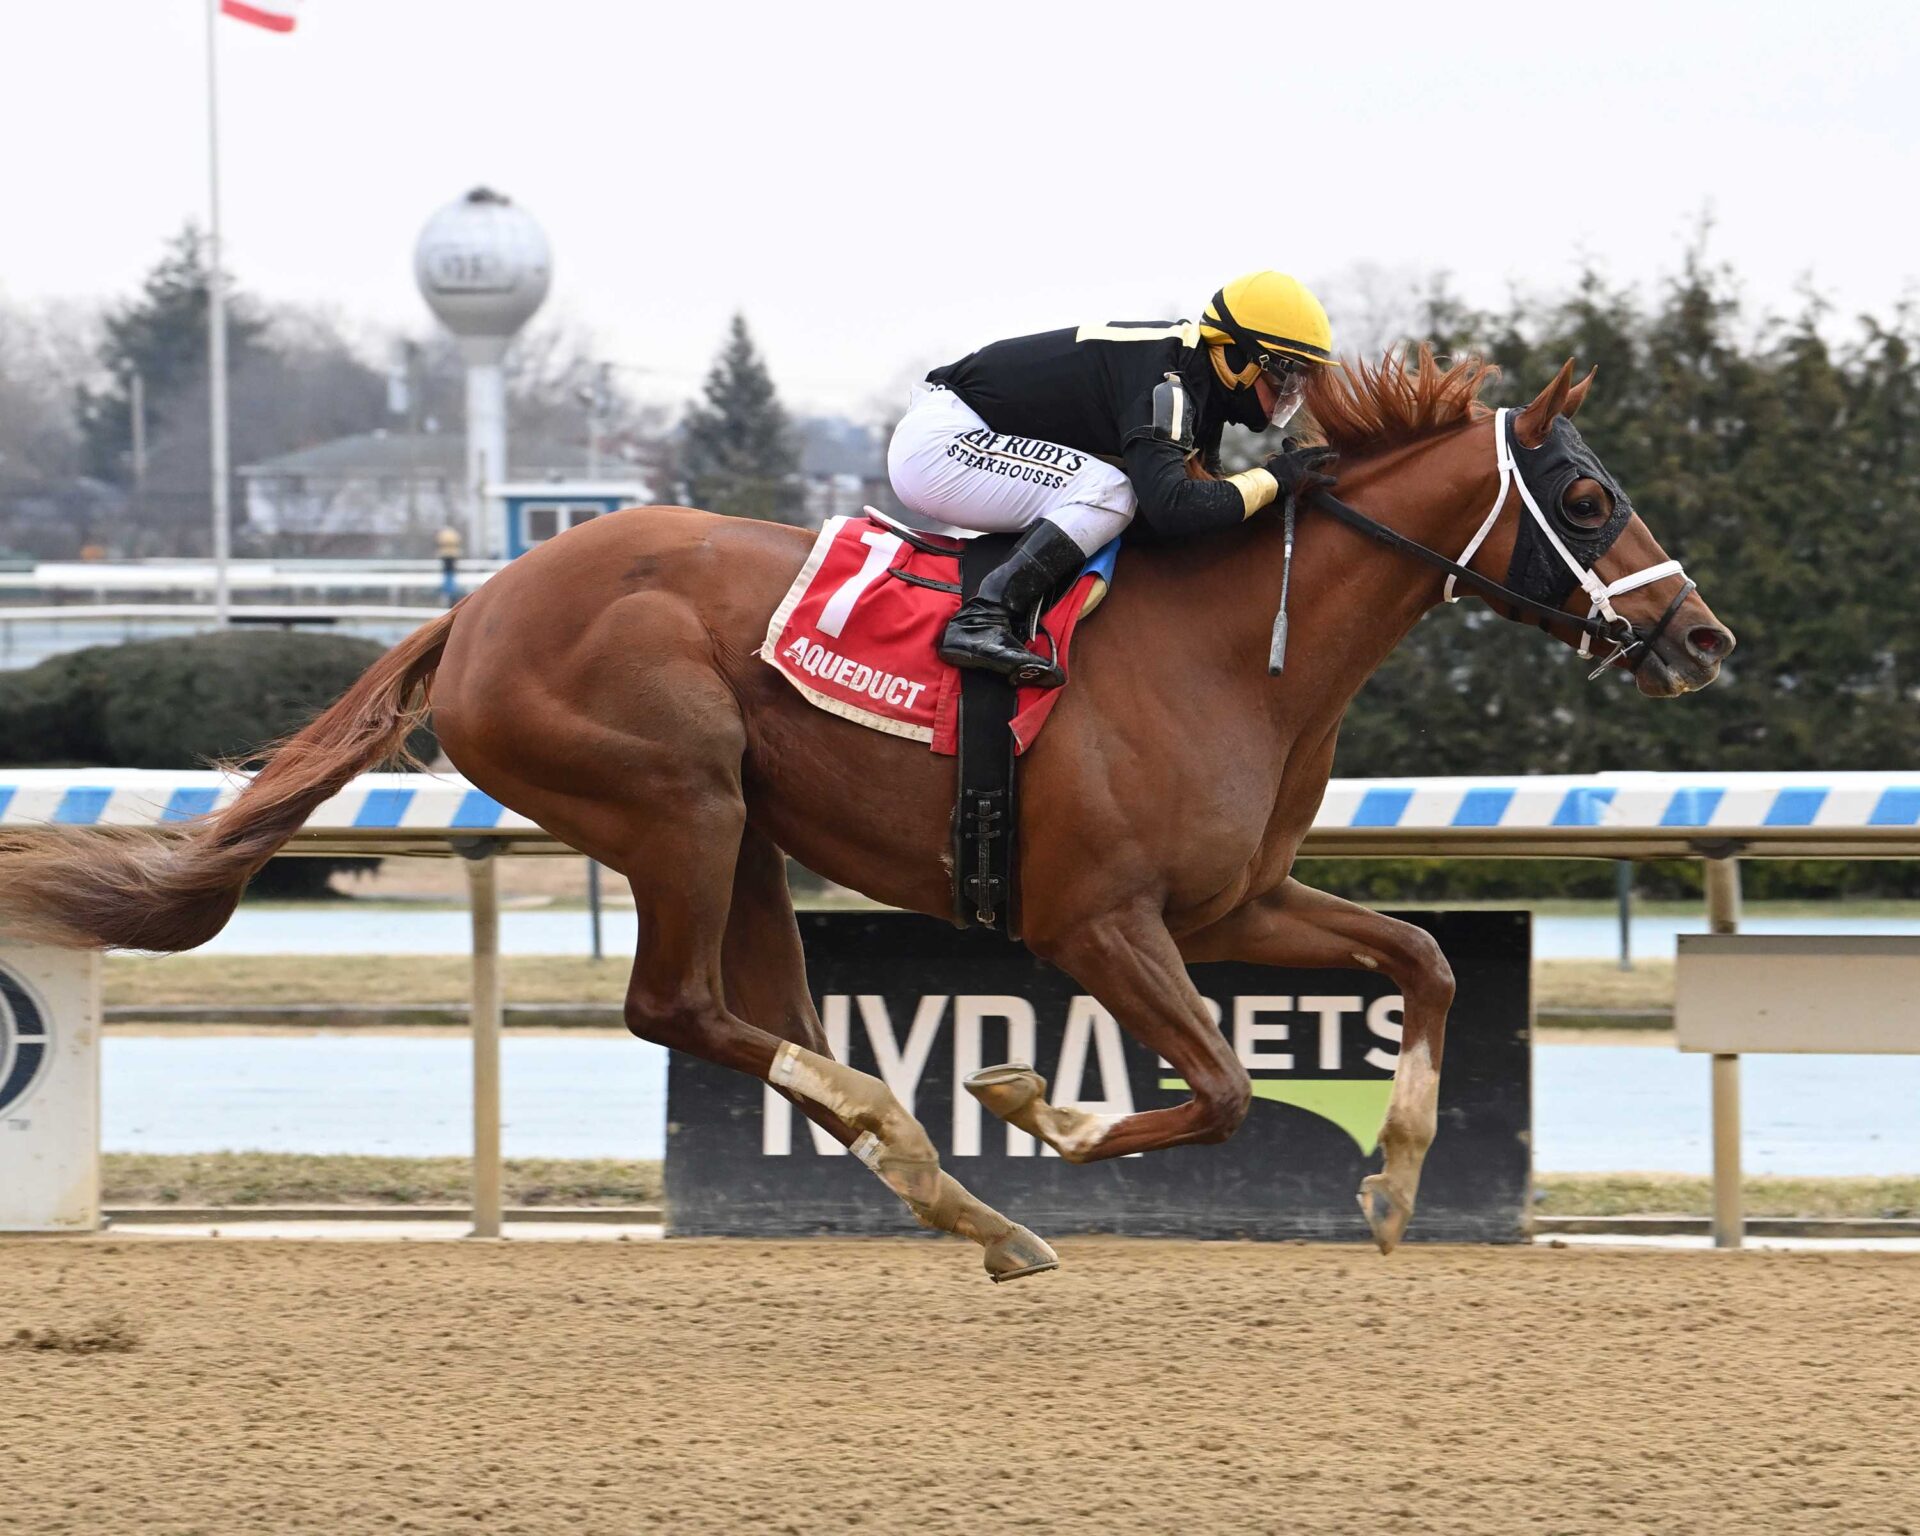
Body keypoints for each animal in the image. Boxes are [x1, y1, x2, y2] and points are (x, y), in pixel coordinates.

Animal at [0, 350, 1733, 1280]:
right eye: (1588, 500)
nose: (1702, 636)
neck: (1236, 644)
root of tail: (479, 600)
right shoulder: (1094, 921)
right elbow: (1229, 1090)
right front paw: (1041, 1103)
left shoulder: (1232, 902)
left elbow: (1425, 962)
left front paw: (1395, 1184)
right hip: (676, 800)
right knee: (680, 1008)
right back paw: (943, 1159)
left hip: (747, 838)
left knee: (763, 1017)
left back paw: (956, 1199)